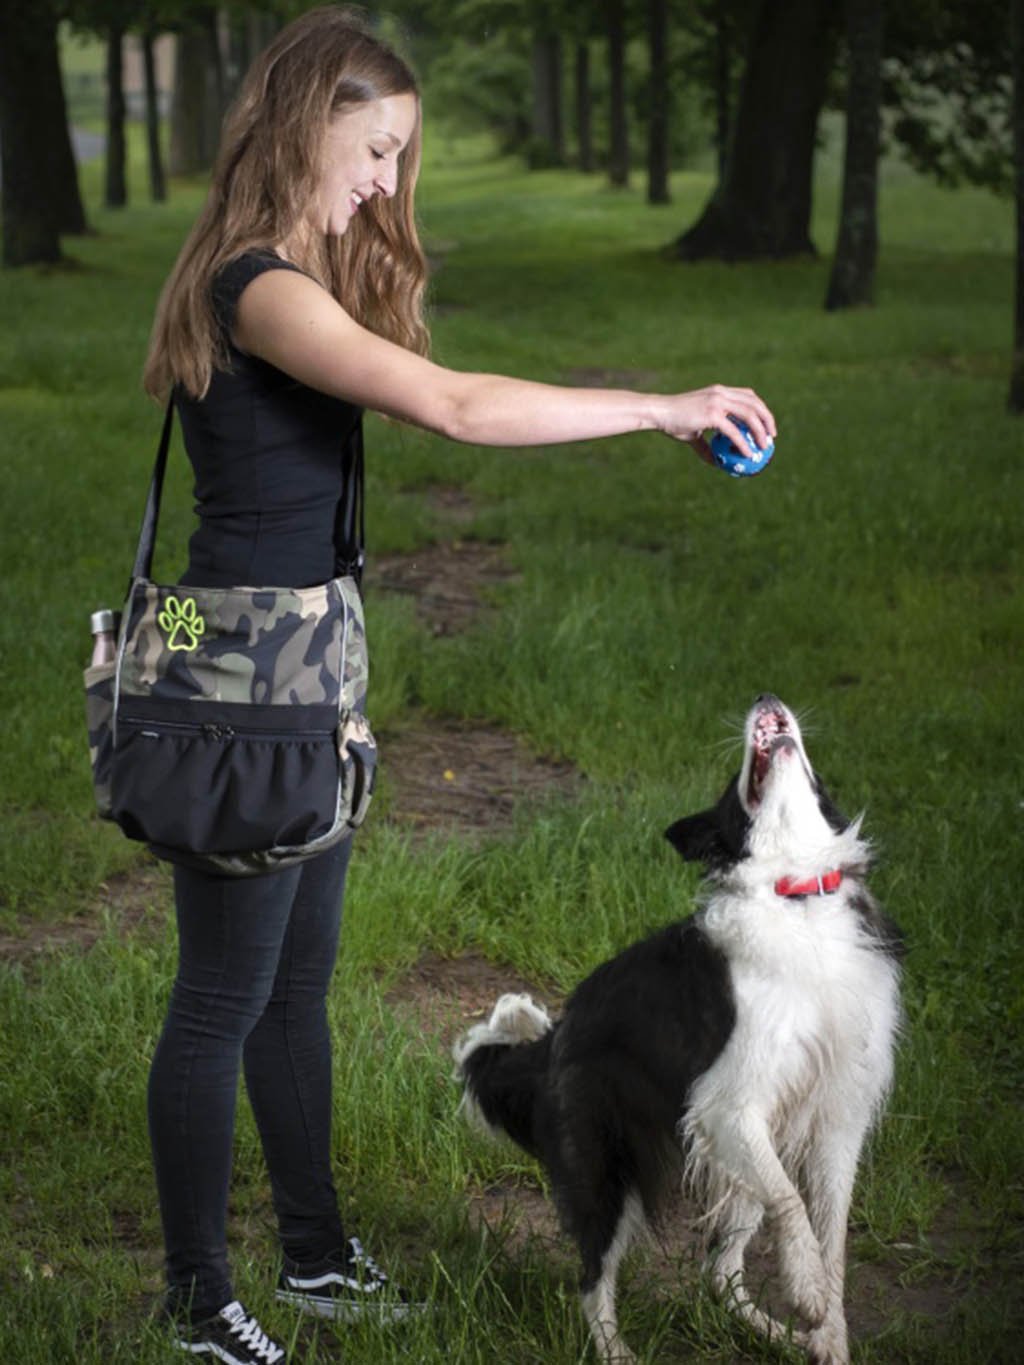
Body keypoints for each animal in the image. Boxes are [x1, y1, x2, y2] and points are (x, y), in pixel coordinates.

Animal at [458, 698, 906, 1359]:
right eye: (733, 787)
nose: (766, 699)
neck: (797, 895)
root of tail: (550, 1043)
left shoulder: (835, 1118)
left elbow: (833, 1243)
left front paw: (827, 1337)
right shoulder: (728, 1104)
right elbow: (792, 1203)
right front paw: (804, 1289)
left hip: (728, 1169)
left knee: (718, 1273)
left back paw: (778, 1336)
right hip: (608, 1169)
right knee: (593, 1277)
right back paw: (616, 1352)